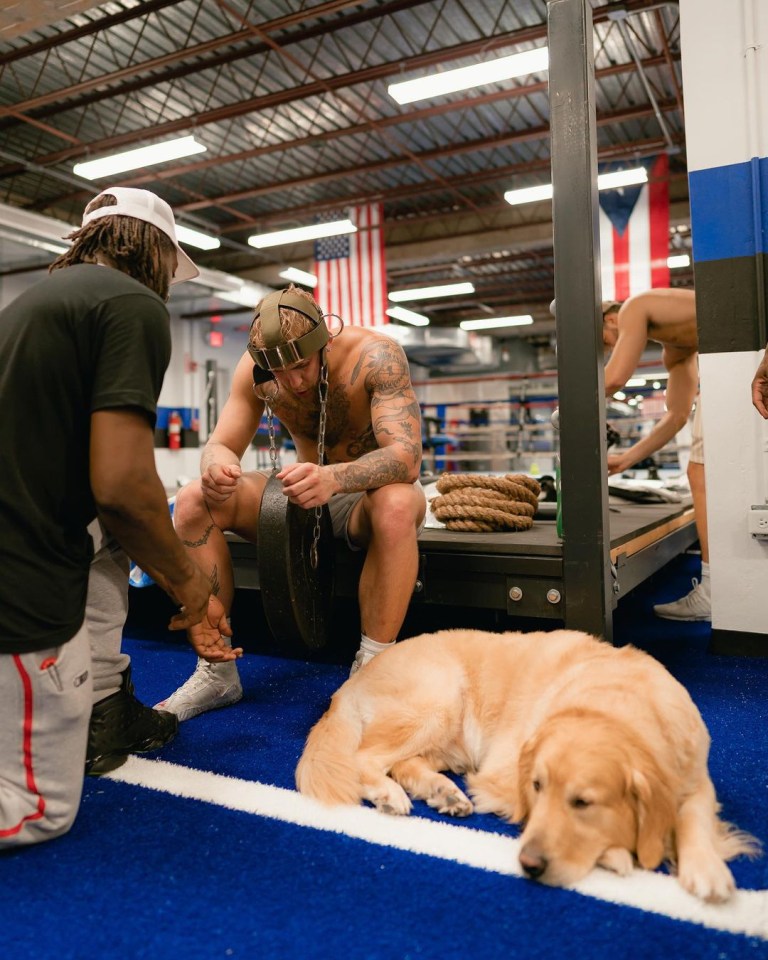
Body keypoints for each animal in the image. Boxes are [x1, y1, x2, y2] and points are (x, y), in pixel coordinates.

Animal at [296, 632, 760, 900]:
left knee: (406, 764)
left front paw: (707, 868)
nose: (530, 865)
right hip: (438, 699)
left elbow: (694, 815)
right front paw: (618, 852)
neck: (613, 702)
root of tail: (350, 683)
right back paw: (389, 795)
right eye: (537, 787)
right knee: (366, 758)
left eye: (583, 803)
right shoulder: (503, 776)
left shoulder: (698, 777)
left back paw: (443, 793)